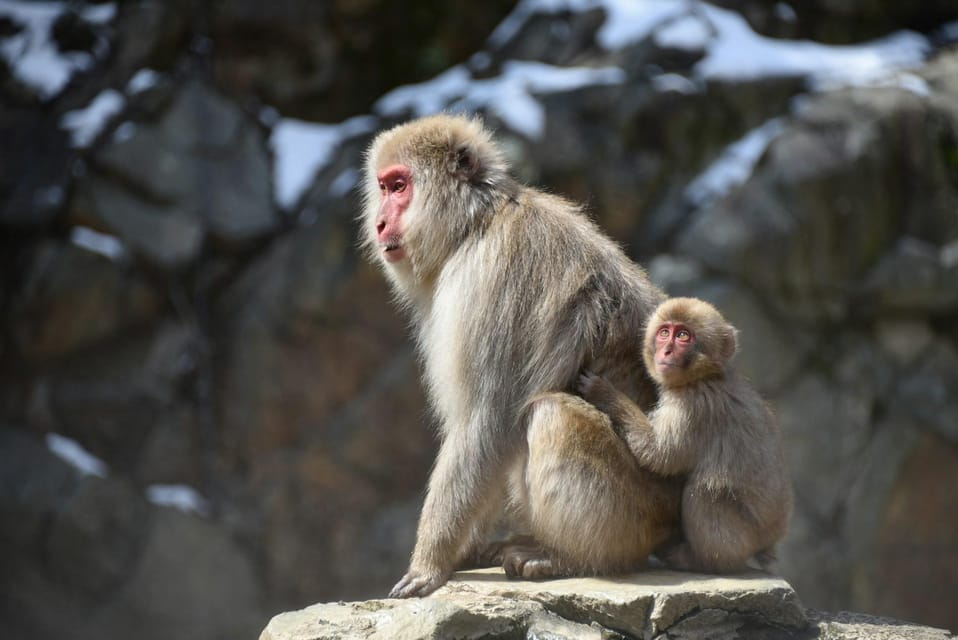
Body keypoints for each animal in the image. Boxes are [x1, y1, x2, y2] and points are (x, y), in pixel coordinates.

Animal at [361, 114, 681, 598]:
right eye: (382, 187)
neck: (476, 223)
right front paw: (463, 550)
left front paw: (430, 563)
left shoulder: (487, 279)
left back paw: (572, 558)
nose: (380, 223)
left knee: (551, 414)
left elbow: (485, 422)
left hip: (638, 515)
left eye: (400, 186)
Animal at [578, 297, 793, 573]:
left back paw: (700, 560)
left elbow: (660, 454)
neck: (705, 376)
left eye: (683, 336)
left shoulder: (691, 406)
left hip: (741, 535)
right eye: (664, 333)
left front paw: (604, 393)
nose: (666, 351)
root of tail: (770, 539)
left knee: (704, 492)